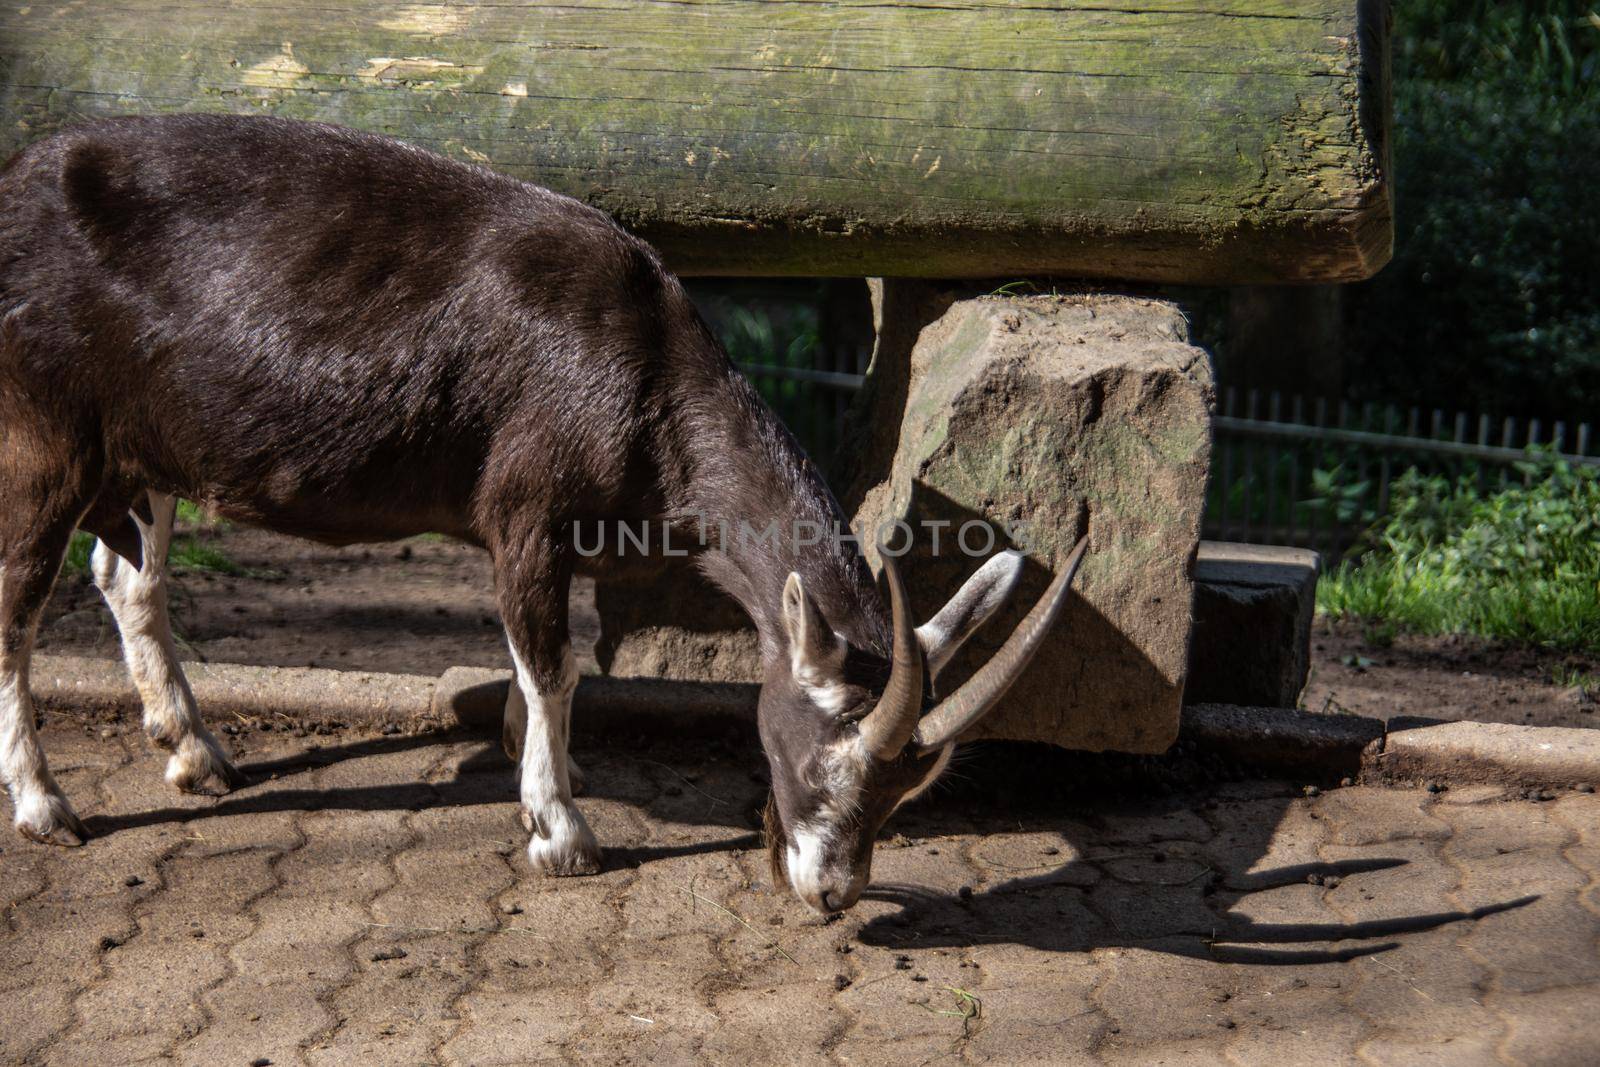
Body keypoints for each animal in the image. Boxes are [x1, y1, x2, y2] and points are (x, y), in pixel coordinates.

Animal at [0, 119, 1088, 921]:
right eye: (830, 753)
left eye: (912, 787)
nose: (831, 891)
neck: (647, 374)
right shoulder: (523, 509)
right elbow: (555, 664)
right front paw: (560, 830)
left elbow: (537, 670)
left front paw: (537, 767)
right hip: (43, 432)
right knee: (18, 602)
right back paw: (45, 805)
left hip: (141, 444)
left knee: (127, 574)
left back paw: (192, 750)